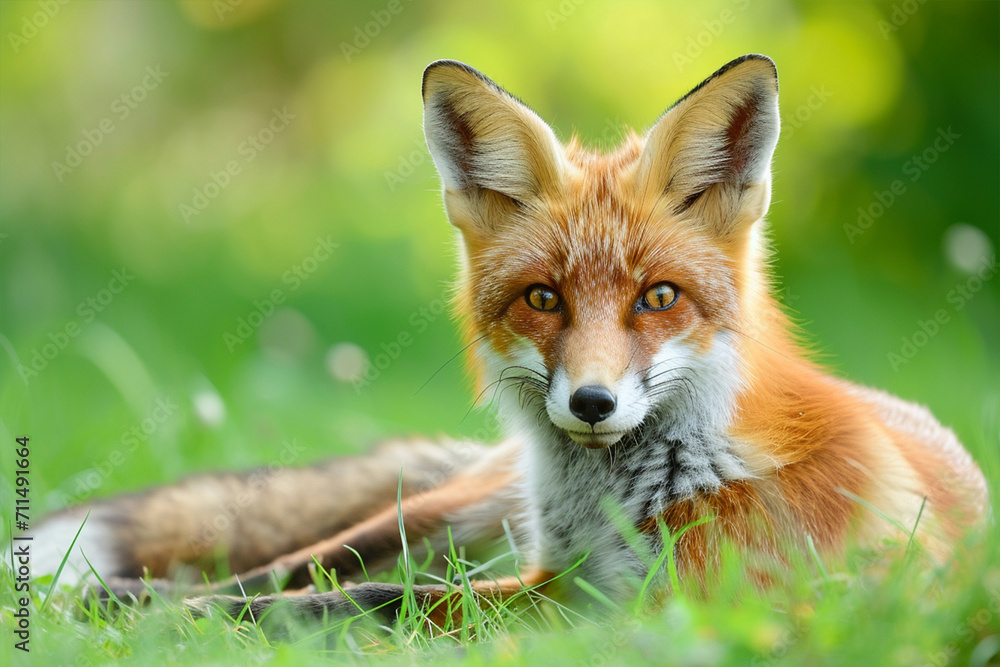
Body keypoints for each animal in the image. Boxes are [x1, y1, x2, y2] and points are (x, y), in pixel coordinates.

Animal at [26, 54, 988, 625]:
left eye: (658, 297)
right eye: (542, 298)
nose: (592, 402)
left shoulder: (634, 610)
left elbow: (378, 602)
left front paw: (183, 624)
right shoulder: (560, 581)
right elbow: (349, 591)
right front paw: (164, 614)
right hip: (449, 508)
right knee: (284, 564)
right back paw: (112, 593)